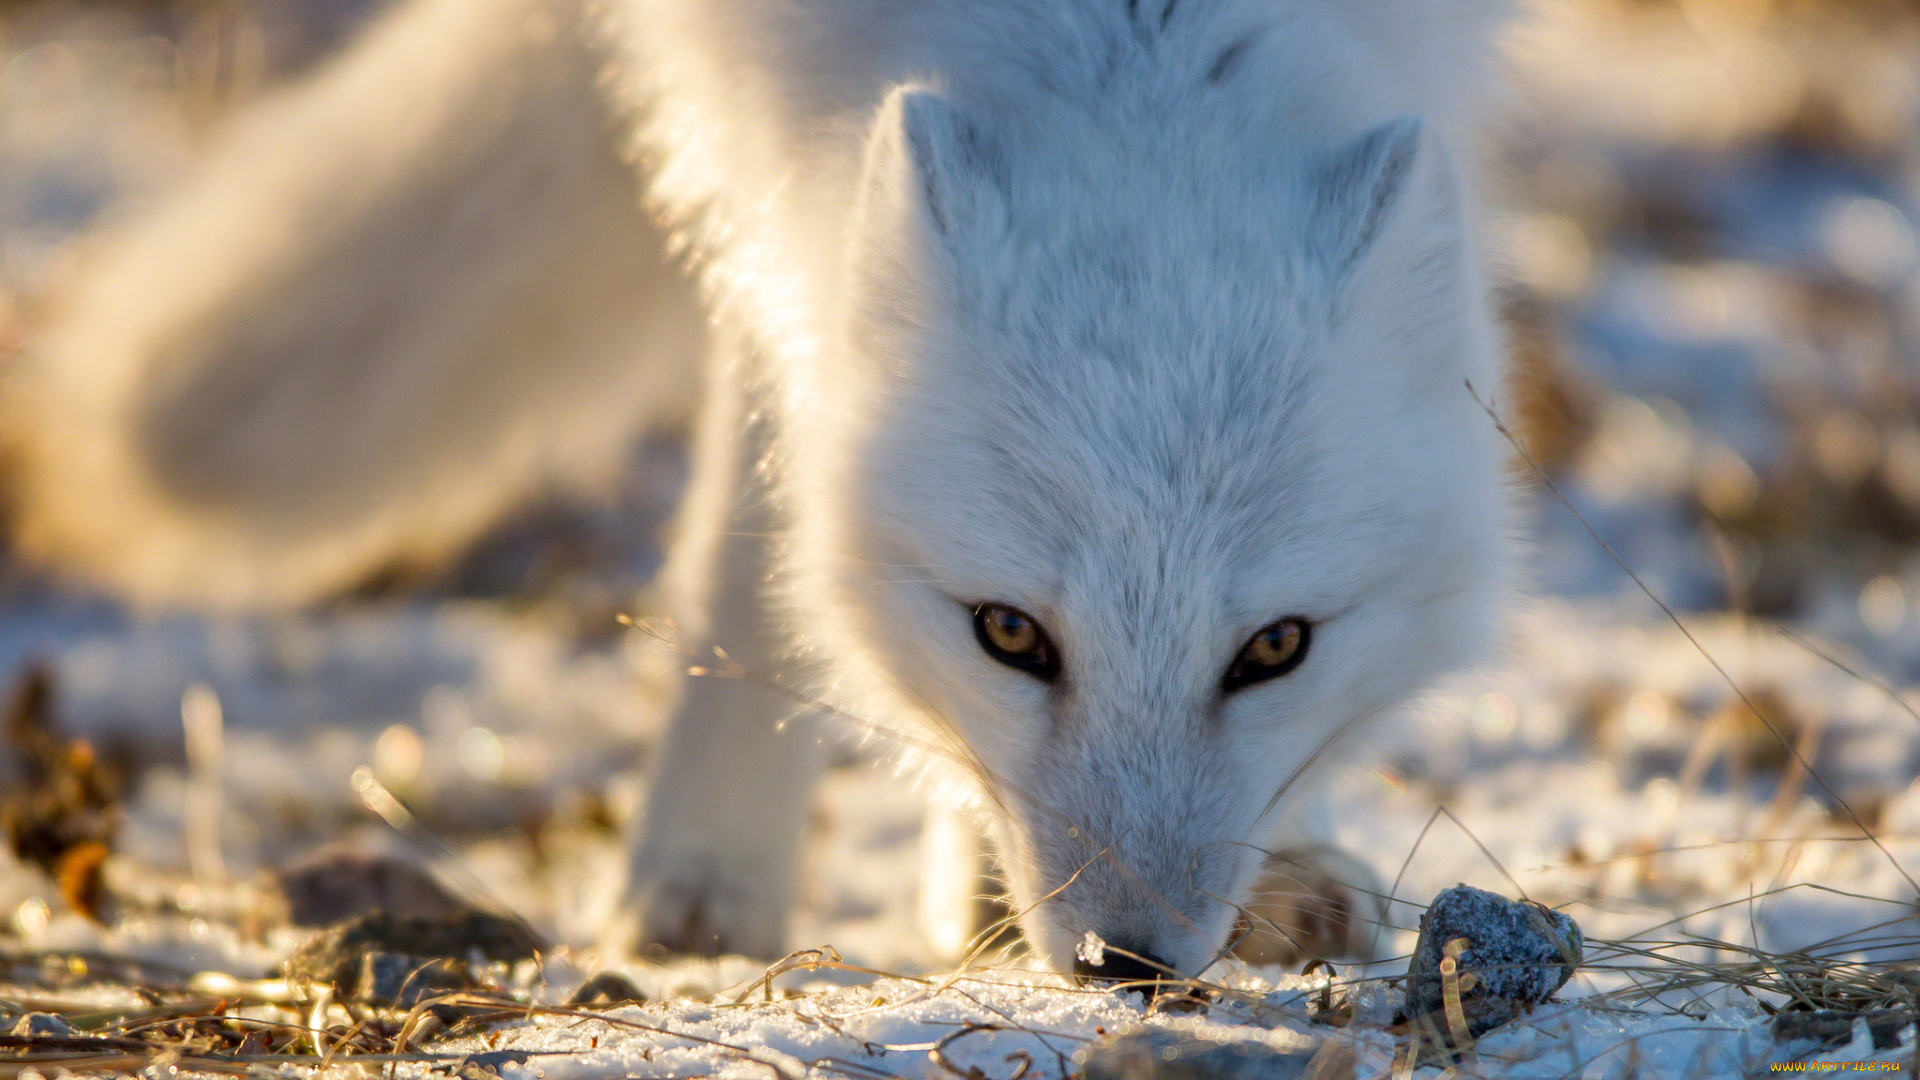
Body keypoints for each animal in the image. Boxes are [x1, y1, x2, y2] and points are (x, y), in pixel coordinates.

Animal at [11, 0, 1512, 976]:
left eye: (1275, 649)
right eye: (1009, 635)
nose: (1127, 966)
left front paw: (1295, 863)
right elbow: (766, 492)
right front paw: (709, 872)